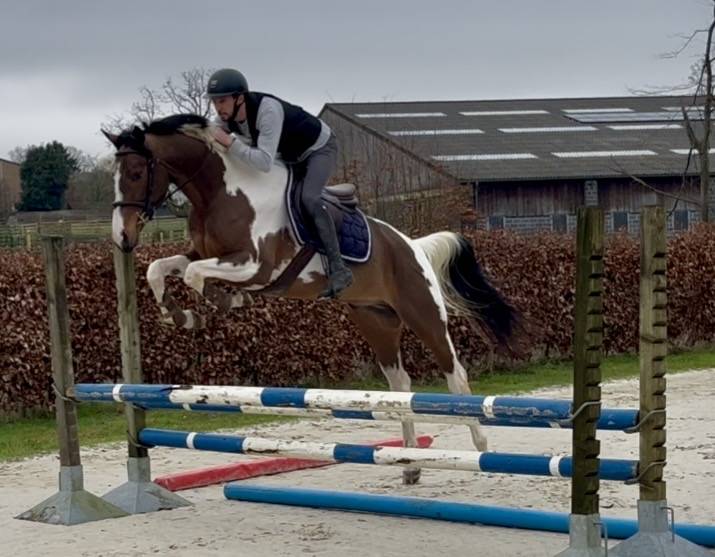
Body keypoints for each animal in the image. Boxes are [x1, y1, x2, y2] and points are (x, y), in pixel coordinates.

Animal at [103, 113, 523, 485]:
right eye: (115, 178)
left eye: (137, 173)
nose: (122, 237)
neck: (220, 191)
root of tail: (412, 245)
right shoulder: (202, 254)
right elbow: (160, 268)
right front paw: (178, 314)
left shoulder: (255, 266)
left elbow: (195, 276)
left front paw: (222, 303)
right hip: (375, 320)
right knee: (400, 384)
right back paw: (410, 465)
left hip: (423, 314)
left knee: (456, 377)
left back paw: (480, 448)